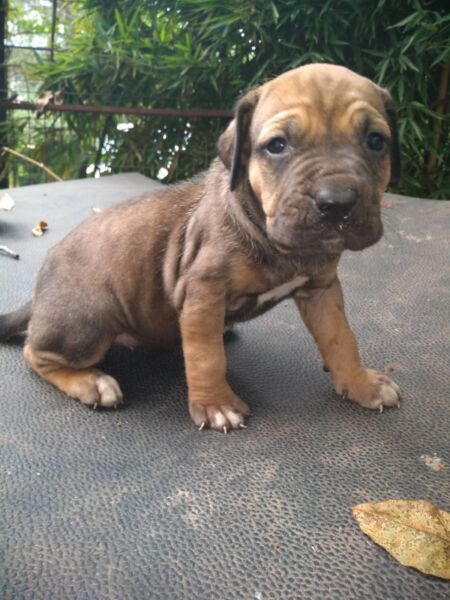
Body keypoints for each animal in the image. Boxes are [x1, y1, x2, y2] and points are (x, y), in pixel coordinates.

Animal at [0, 64, 400, 432]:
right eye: (277, 146)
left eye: (376, 141)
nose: (337, 202)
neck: (270, 235)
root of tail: (39, 295)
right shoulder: (204, 291)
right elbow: (207, 357)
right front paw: (216, 404)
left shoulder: (322, 290)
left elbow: (341, 338)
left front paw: (360, 383)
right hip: (90, 320)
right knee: (36, 353)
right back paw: (90, 381)